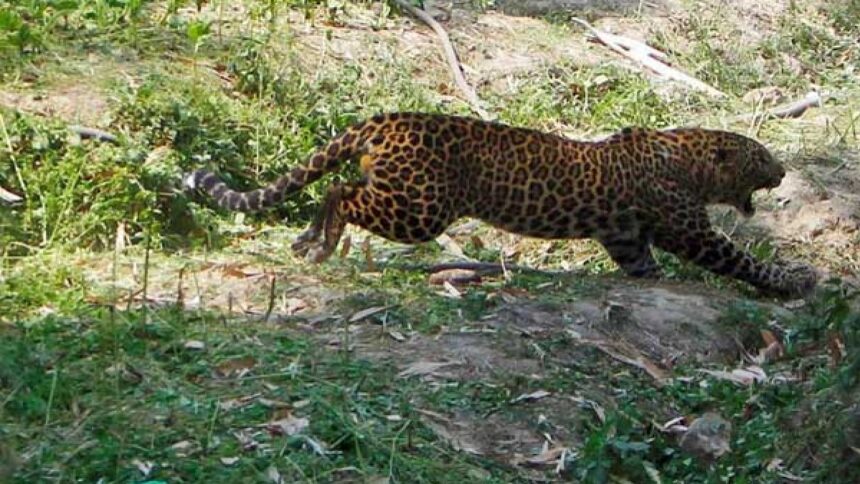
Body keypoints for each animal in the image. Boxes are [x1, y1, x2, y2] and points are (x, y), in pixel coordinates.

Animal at [185, 112, 818, 298]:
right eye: (762, 156)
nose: (784, 170)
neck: (686, 158)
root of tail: (384, 119)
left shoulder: (625, 237)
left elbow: (643, 268)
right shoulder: (689, 230)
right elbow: (741, 260)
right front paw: (797, 282)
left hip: (405, 199)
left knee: (335, 187)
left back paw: (309, 239)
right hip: (419, 209)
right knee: (339, 192)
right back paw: (322, 242)